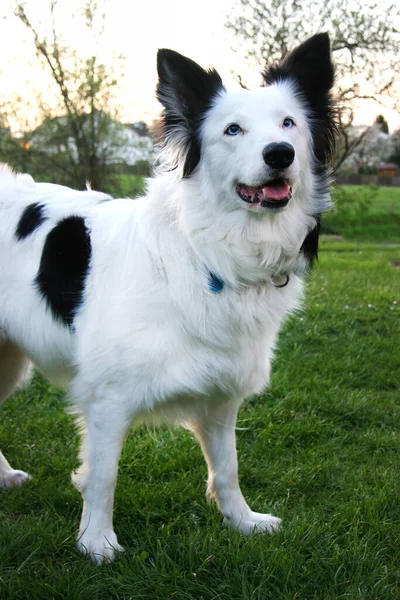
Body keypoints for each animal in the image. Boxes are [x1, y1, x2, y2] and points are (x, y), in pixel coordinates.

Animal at [0, 34, 338, 564]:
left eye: (289, 123)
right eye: (233, 129)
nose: (280, 154)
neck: (208, 254)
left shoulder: (221, 394)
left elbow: (228, 468)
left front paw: (243, 522)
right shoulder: (108, 398)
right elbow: (103, 476)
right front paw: (96, 543)